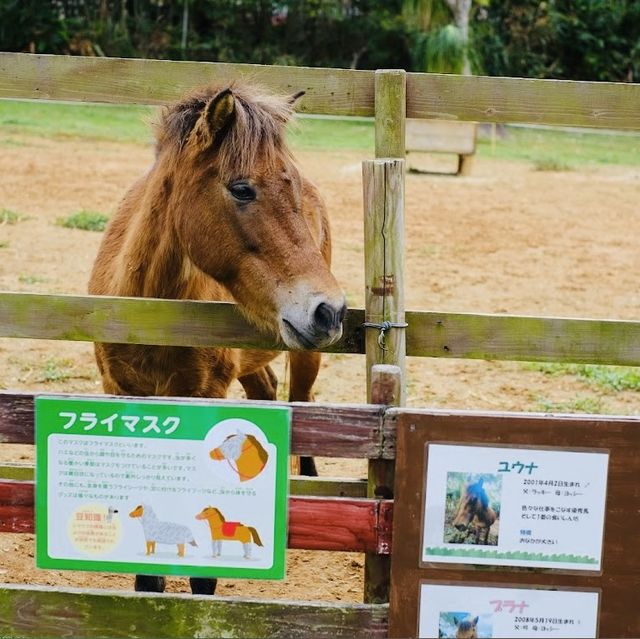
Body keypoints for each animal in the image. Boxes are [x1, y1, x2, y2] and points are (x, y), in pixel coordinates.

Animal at [89, 85, 344, 596]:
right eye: (242, 188)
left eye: (290, 188)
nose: (329, 310)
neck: (153, 317)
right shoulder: (123, 393)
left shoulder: (204, 394)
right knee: (266, 389)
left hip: (305, 361)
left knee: (303, 404)